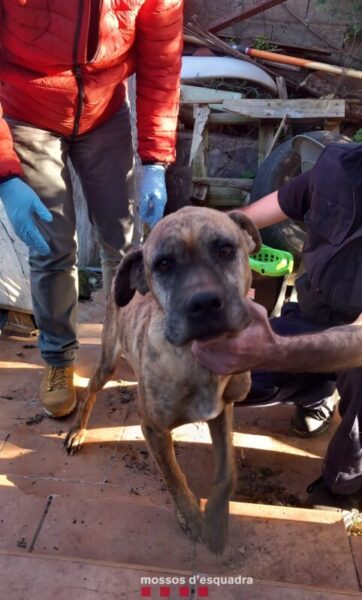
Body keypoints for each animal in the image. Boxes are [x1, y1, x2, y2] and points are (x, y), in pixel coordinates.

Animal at [66, 206, 260, 552]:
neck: (200, 361)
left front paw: (216, 518)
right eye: (164, 264)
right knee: (90, 389)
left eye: (225, 249)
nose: (204, 303)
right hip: (108, 360)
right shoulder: (154, 430)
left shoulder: (222, 412)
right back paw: (77, 431)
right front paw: (192, 517)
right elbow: (173, 476)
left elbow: (227, 472)